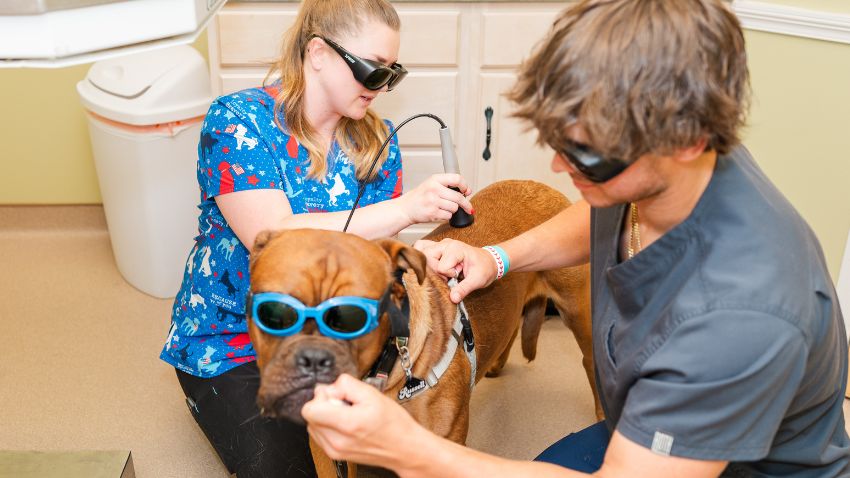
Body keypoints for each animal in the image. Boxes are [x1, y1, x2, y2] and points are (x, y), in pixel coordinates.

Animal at [247, 180, 596, 478]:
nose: (312, 359)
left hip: (580, 313)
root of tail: (541, 185)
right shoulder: (326, 452)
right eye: (274, 314)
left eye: (352, 318)